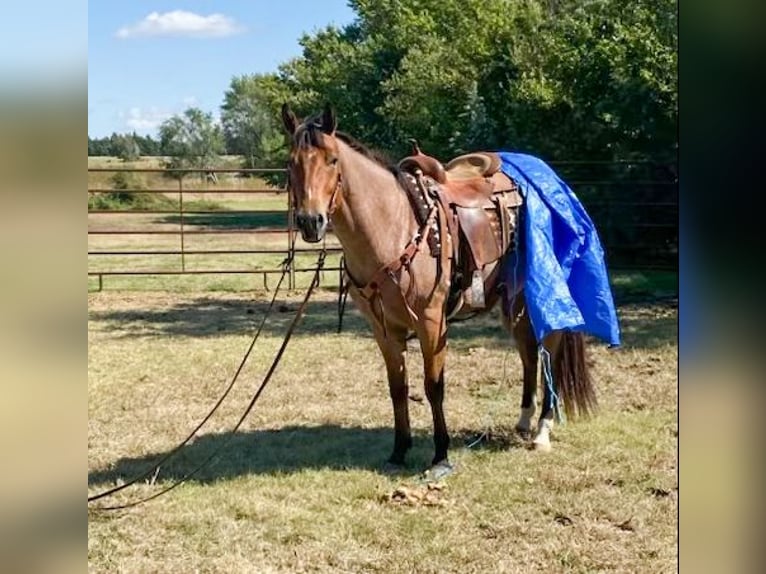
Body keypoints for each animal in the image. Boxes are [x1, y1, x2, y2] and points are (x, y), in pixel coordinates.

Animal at [281, 103, 597, 479]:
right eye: (291, 163)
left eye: (331, 160)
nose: (310, 222)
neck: (393, 227)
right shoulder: (384, 329)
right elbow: (397, 388)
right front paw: (399, 450)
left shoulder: (432, 323)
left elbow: (434, 387)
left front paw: (440, 457)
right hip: (514, 300)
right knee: (528, 352)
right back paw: (523, 422)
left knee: (549, 347)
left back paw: (542, 431)